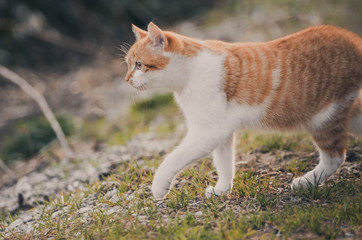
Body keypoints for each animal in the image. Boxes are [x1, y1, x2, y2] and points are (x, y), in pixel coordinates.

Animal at [124, 22, 362, 199]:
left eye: (138, 65)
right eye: (128, 64)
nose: (126, 80)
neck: (189, 73)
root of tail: (353, 39)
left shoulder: (208, 132)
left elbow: (173, 158)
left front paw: (159, 187)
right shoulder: (221, 131)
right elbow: (224, 163)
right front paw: (222, 189)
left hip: (323, 118)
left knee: (334, 157)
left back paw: (306, 182)